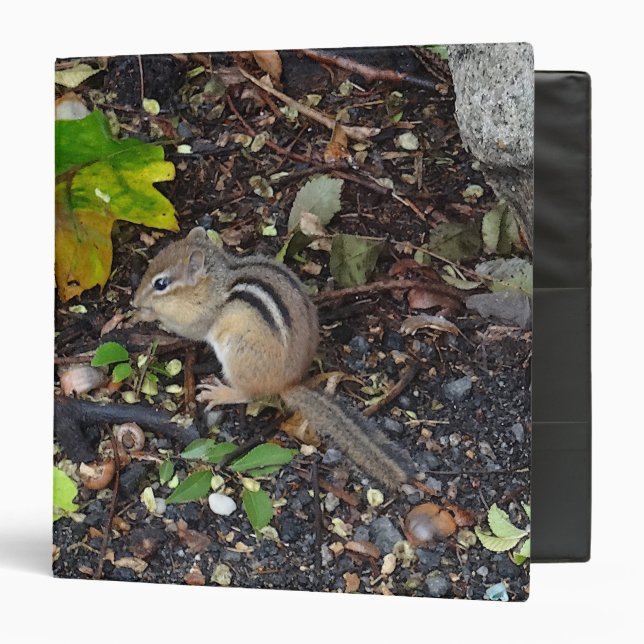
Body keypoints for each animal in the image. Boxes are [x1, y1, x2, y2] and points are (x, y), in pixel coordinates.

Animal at [132, 226, 413, 489]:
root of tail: (288, 383)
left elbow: (187, 329)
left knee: (248, 394)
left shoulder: (201, 316)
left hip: (236, 355)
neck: (215, 282)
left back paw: (220, 393)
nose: (135, 300)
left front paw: (145, 314)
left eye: (160, 284)